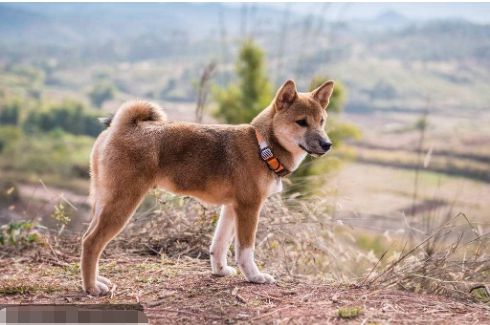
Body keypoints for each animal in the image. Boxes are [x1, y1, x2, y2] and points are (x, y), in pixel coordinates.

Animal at [81, 78, 334, 294]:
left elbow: (219, 245)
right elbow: (245, 250)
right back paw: (92, 287)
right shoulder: (249, 208)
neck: (262, 147)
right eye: (301, 122)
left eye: (321, 121)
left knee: (88, 239)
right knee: (91, 242)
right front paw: (255, 276)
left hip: (104, 202)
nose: (327, 144)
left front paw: (220, 271)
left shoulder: (231, 207)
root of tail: (121, 127)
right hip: (123, 202)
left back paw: (97, 279)